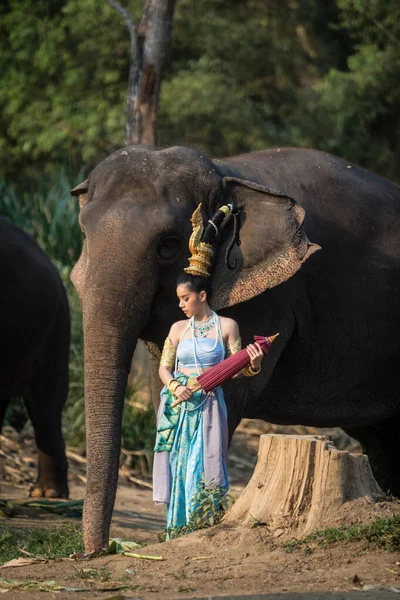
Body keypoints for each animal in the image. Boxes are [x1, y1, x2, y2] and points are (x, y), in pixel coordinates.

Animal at [70, 145, 400, 552]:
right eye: (83, 233)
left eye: (168, 244)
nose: (97, 551)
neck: (224, 171)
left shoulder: (271, 297)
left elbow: (226, 391)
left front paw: (188, 529)